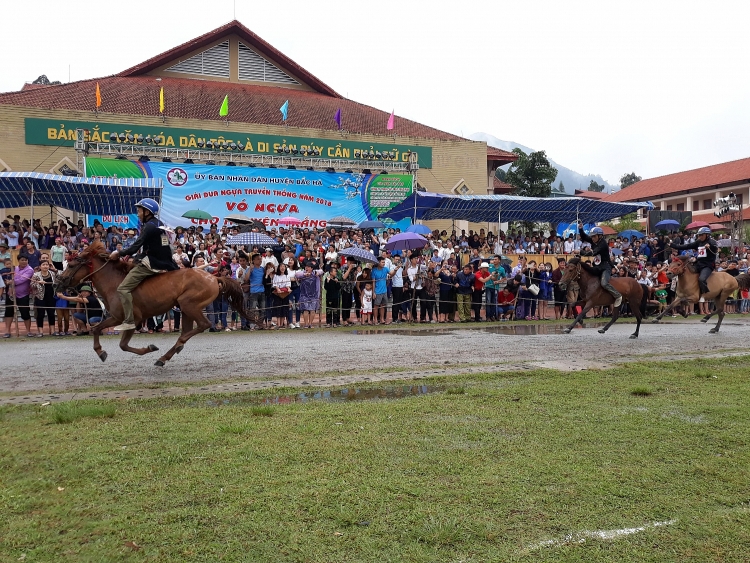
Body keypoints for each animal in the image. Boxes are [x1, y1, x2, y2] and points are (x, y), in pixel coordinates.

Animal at [56, 241, 250, 366]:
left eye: (71, 265)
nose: (60, 281)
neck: (115, 283)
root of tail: (213, 277)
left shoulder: (129, 319)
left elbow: (122, 345)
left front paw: (149, 348)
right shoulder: (117, 318)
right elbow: (98, 330)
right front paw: (101, 351)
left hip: (189, 305)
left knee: (203, 324)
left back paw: (168, 353)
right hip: (186, 309)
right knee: (188, 330)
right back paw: (171, 352)